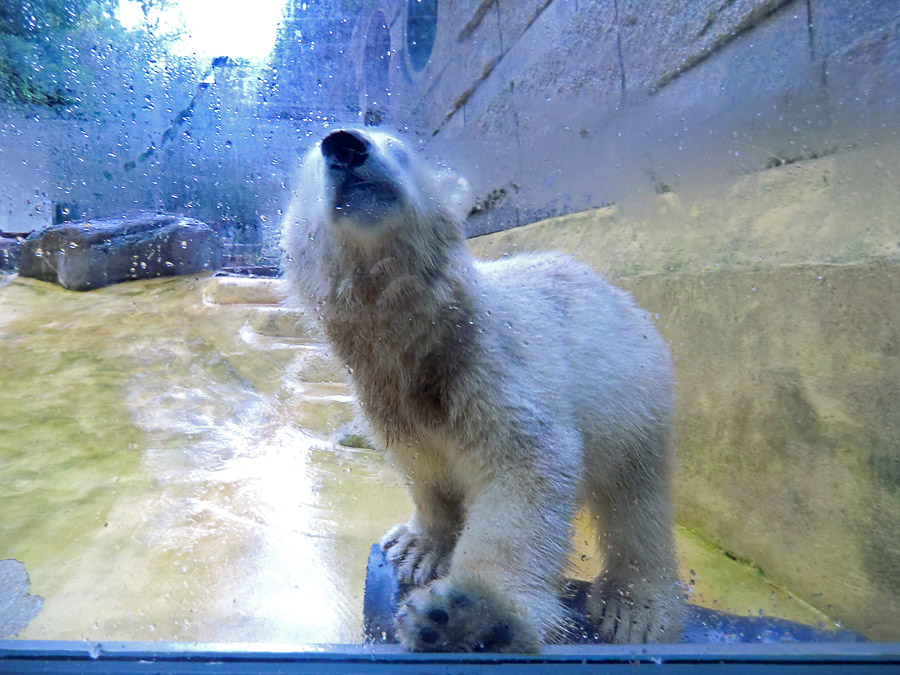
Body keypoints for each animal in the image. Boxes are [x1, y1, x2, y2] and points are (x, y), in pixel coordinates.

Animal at [282, 129, 684, 652]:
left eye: (400, 147)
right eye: (312, 159)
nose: (345, 145)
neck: (421, 343)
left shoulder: (492, 366)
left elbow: (527, 468)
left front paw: (471, 619)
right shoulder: (388, 401)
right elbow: (423, 468)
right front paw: (415, 548)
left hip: (634, 390)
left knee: (636, 496)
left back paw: (634, 605)